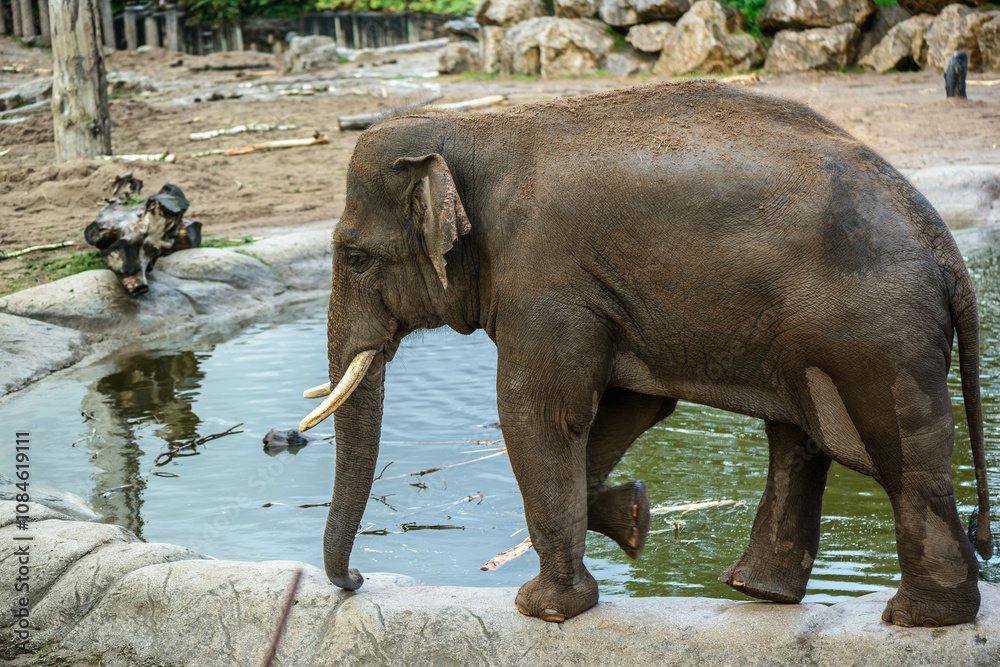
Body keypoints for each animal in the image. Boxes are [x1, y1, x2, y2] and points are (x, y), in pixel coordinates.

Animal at [298, 80, 993, 626]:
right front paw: (633, 515)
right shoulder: (594, 295)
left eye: (356, 259)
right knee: (801, 440)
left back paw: (918, 619)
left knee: (898, 460)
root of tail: (946, 248)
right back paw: (759, 591)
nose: (356, 581)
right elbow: (630, 405)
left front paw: (543, 609)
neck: (473, 132)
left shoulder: (546, 280)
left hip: (873, 336)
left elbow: (539, 411)